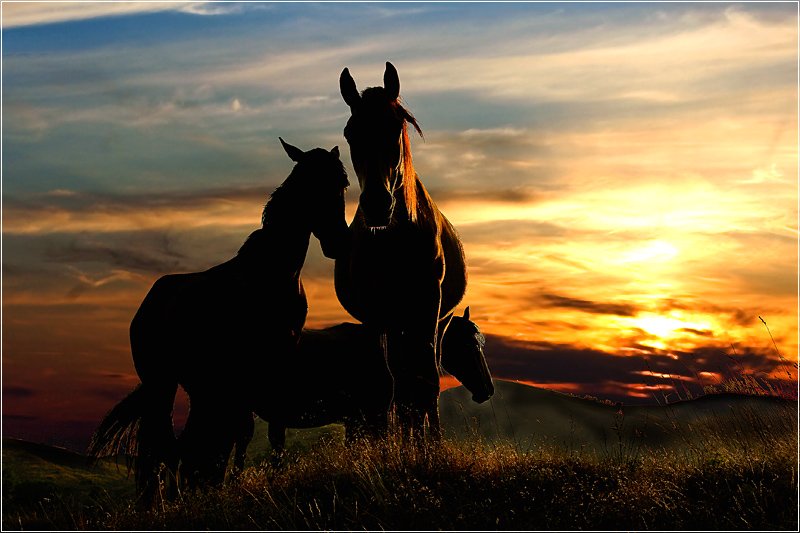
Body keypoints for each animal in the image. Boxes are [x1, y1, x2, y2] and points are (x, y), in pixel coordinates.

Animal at [89, 139, 348, 504]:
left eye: (343, 183)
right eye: (309, 183)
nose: (339, 241)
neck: (271, 276)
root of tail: (148, 304)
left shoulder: (276, 363)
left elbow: (265, 432)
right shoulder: (246, 371)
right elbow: (242, 431)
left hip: (198, 386)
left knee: (187, 444)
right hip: (163, 384)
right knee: (164, 445)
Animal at [332, 62, 468, 438]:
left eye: (395, 127)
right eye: (350, 133)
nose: (377, 205)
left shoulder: (427, 305)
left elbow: (426, 383)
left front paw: (430, 448)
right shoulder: (378, 312)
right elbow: (391, 385)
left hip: (435, 321)